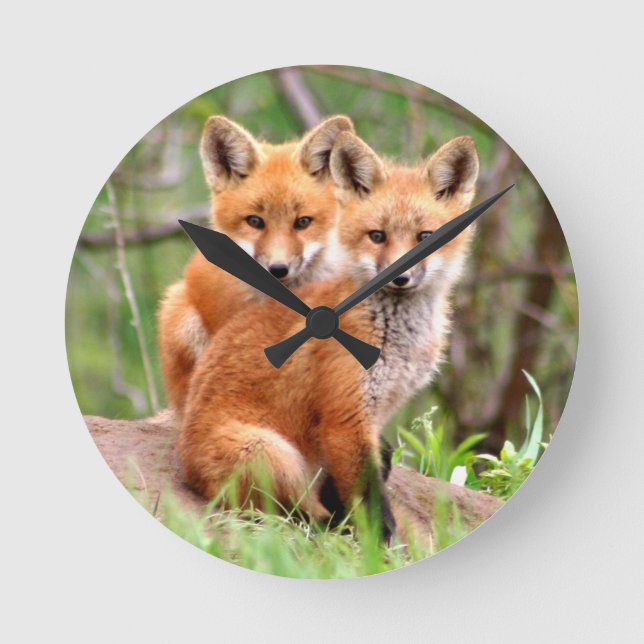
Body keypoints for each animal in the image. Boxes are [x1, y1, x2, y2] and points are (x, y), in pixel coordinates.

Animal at [178, 130, 480, 537]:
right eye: (377, 236)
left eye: (425, 236)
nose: (400, 277)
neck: (397, 340)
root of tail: (187, 470)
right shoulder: (345, 419)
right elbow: (372, 507)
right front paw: (380, 546)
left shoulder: (375, 414)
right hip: (270, 453)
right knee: (294, 517)